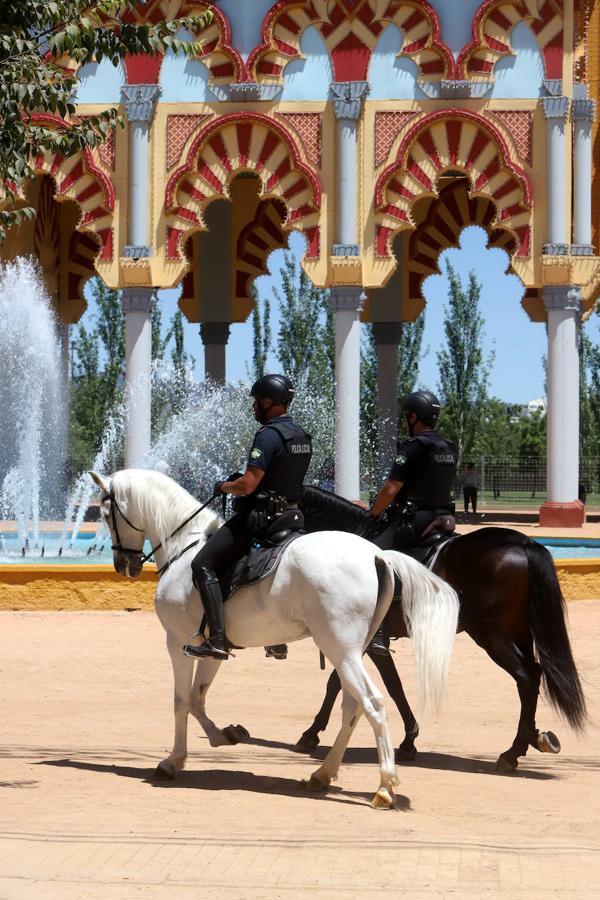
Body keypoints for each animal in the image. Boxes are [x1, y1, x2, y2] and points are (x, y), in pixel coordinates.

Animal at [90, 468, 460, 812]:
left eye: (106, 513)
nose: (124, 565)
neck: (184, 545)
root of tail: (375, 555)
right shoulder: (210, 649)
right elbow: (197, 699)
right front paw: (225, 735)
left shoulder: (177, 643)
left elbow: (181, 702)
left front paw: (172, 761)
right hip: (350, 652)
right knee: (352, 707)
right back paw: (322, 774)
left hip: (342, 650)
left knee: (373, 703)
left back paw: (384, 787)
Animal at [298, 488, 588, 768]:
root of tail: (525, 543)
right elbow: (384, 683)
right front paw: (409, 738)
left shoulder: (368, 640)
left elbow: (349, 682)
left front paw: (312, 732)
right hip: (519, 631)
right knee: (534, 674)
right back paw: (532, 737)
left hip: (492, 635)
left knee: (526, 677)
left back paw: (512, 751)